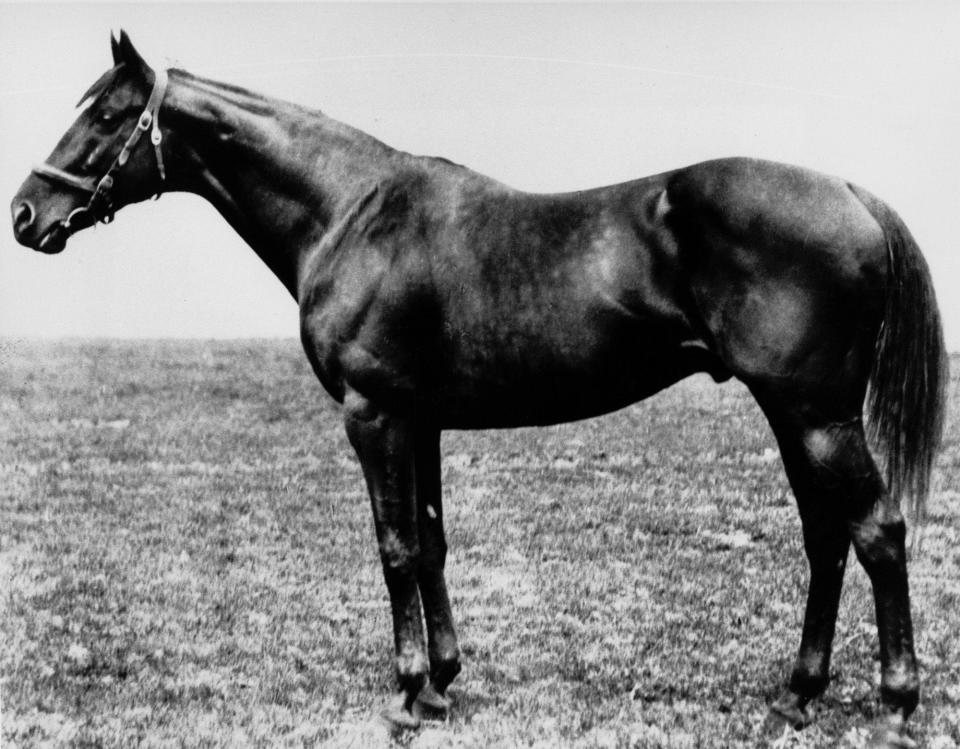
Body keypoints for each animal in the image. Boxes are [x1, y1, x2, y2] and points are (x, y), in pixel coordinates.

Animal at [11, 32, 948, 744]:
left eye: (106, 114)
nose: (25, 214)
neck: (350, 212)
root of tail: (851, 194)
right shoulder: (418, 419)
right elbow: (430, 542)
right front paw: (442, 680)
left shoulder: (374, 415)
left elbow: (393, 547)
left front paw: (406, 695)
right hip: (795, 414)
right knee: (826, 538)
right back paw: (796, 694)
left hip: (816, 414)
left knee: (877, 531)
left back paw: (895, 703)